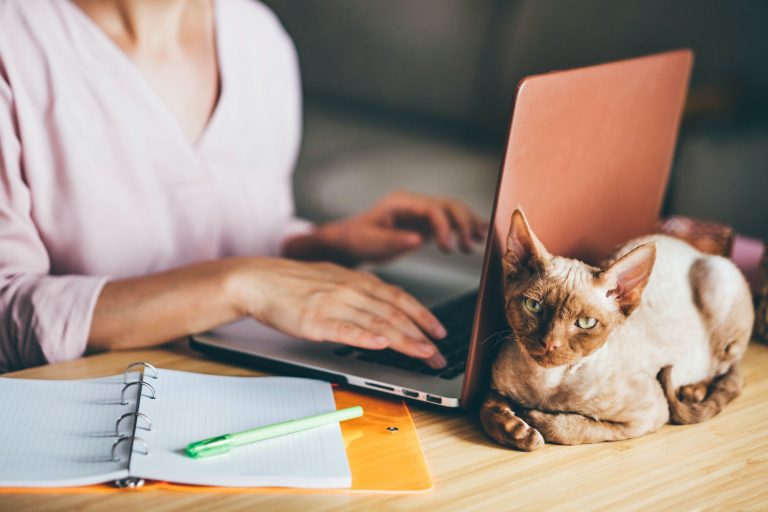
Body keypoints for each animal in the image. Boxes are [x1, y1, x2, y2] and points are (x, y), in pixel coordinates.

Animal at [484, 210, 752, 450]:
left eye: (586, 322)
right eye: (534, 306)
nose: (550, 343)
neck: (547, 382)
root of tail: (694, 249)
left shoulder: (648, 413)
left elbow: (572, 428)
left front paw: (533, 419)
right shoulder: (495, 385)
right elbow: (486, 407)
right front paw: (517, 430)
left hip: (720, 281)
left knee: (724, 367)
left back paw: (693, 390)